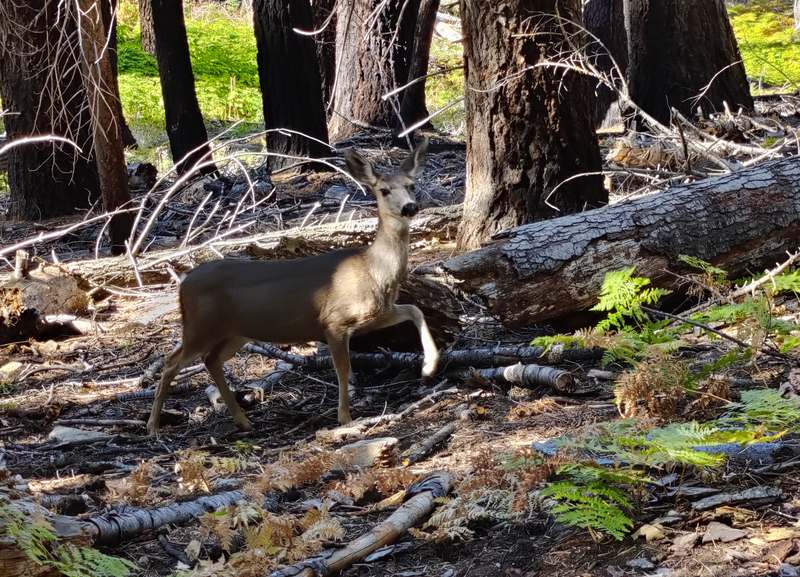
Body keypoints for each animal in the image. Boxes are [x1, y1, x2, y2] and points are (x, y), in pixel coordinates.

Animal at [147, 141, 440, 436]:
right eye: (384, 190)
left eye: (412, 185)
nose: (410, 207)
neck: (371, 269)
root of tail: (184, 281)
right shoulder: (334, 321)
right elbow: (343, 368)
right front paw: (345, 418)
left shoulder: (377, 313)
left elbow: (415, 310)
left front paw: (429, 367)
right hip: (201, 326)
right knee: (171, 363)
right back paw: (153, 426)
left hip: (234, 332)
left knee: (211, 360)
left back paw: (243, 420)